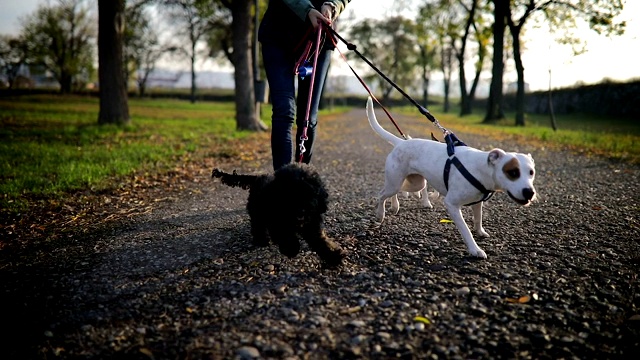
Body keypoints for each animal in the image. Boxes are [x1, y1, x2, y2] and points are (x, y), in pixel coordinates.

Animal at [212, 163, 344, 268]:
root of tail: (257, 177)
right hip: (257, 211)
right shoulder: (275, 221)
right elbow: (284, 234)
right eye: (288, 192)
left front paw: (333, 255)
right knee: (257, 225)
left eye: (311, 192)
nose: (301, 210)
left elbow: (320, 241)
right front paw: (291, 248)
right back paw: (262, 240)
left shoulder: (312, 225)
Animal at [364, 97, 536, 258]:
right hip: (396, 181)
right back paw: (380, 214)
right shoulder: (452, 204)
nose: (530, 192)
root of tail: (401, 142)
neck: (481, 168)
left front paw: (480, 232)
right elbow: (465, 229)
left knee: (399, 191)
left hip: (415, 183)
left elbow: (478, 219)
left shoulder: (477, 202)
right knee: (382, 194)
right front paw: (475, 249)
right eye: (512, 172)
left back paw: (395, 205)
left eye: (531, 172)